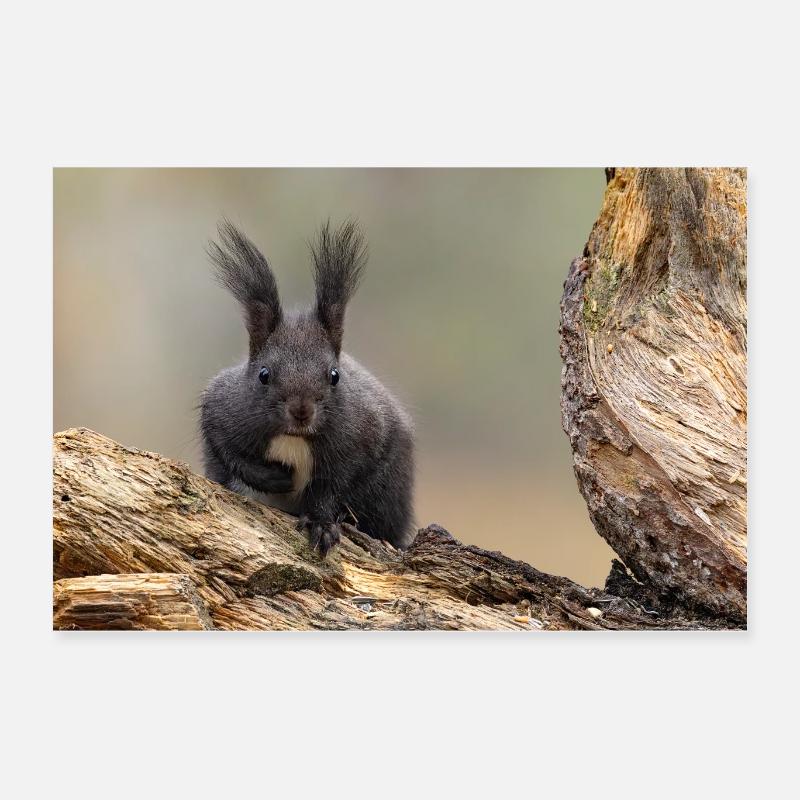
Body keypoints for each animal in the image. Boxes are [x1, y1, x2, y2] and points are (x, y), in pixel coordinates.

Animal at [200, 219, 415, 556]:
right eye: (263, 374)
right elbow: (227, 450)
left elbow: (334, 485)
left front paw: (322, 524)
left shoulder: (363, 436)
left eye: (334, 375)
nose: (301, 411)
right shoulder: (221, 408)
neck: (294, 437)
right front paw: (276, 479)